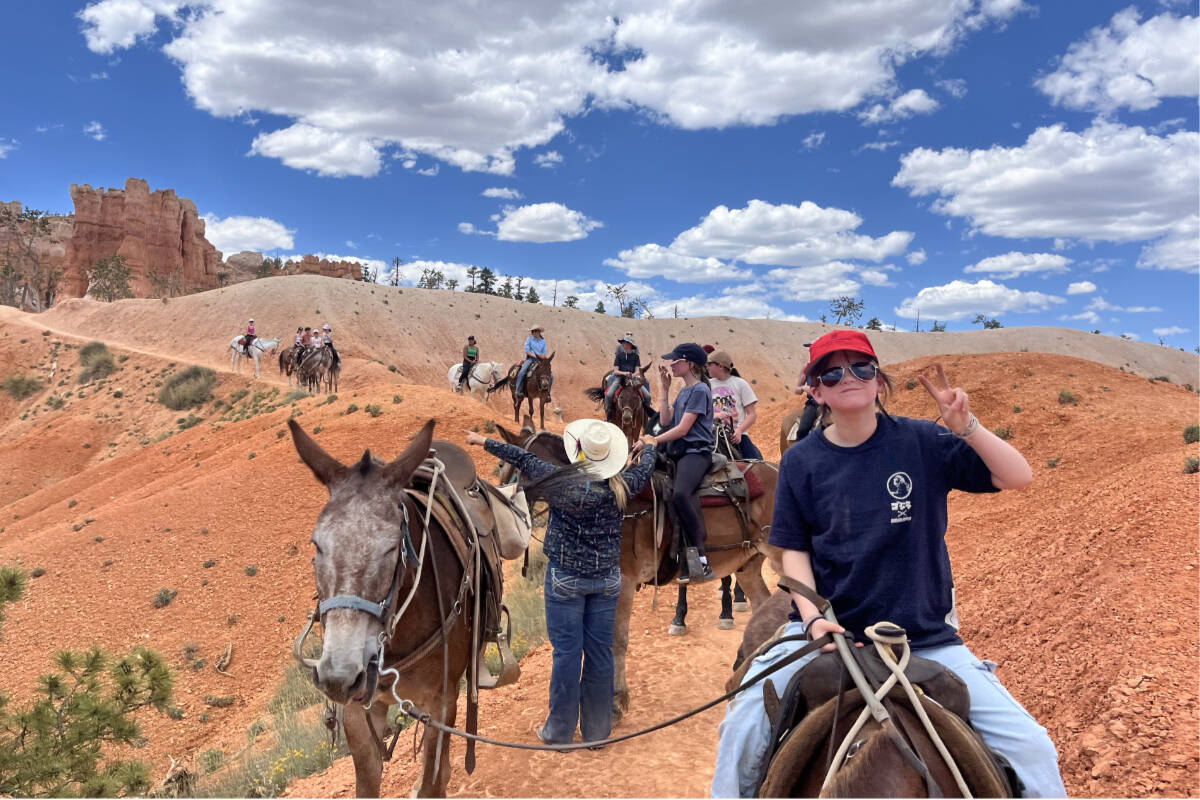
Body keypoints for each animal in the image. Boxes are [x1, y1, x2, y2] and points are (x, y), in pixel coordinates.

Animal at [285, 422, 482, 796]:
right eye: (316, 545)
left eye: (392, 548)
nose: (339, 675)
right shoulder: (357, 713)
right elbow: (368, 782)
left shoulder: (442, 702)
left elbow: (431, 782)